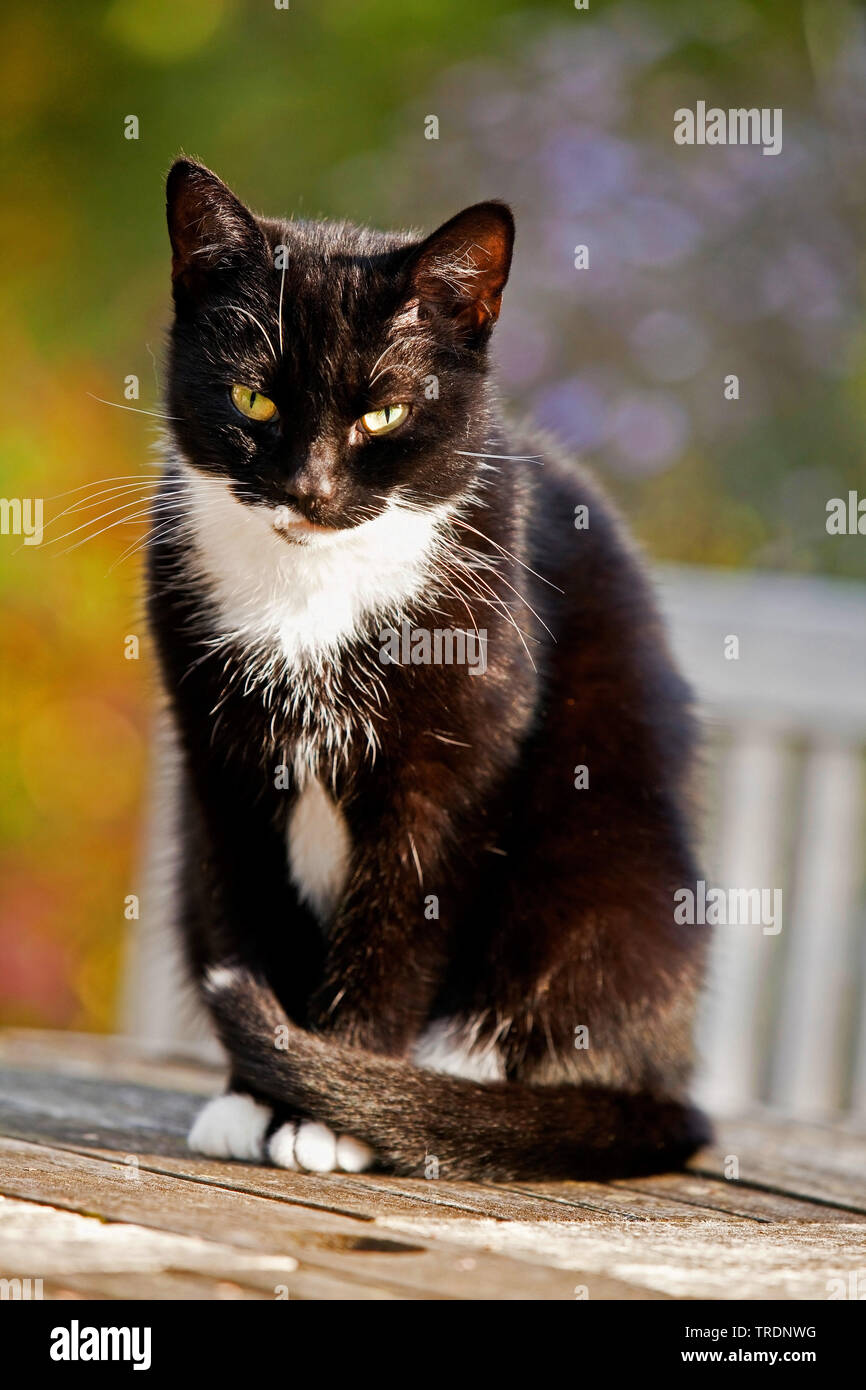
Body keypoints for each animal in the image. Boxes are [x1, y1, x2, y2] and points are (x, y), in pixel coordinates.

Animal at [147, 159, 711, 1184]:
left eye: (385, 413)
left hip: (609, 867)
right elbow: (252, 912)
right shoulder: (221, 765)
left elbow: (400, 924)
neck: (313, 591)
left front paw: (335, 1111)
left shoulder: (451, 766)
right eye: (253, 402)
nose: (310, 491)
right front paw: (261, 1096)